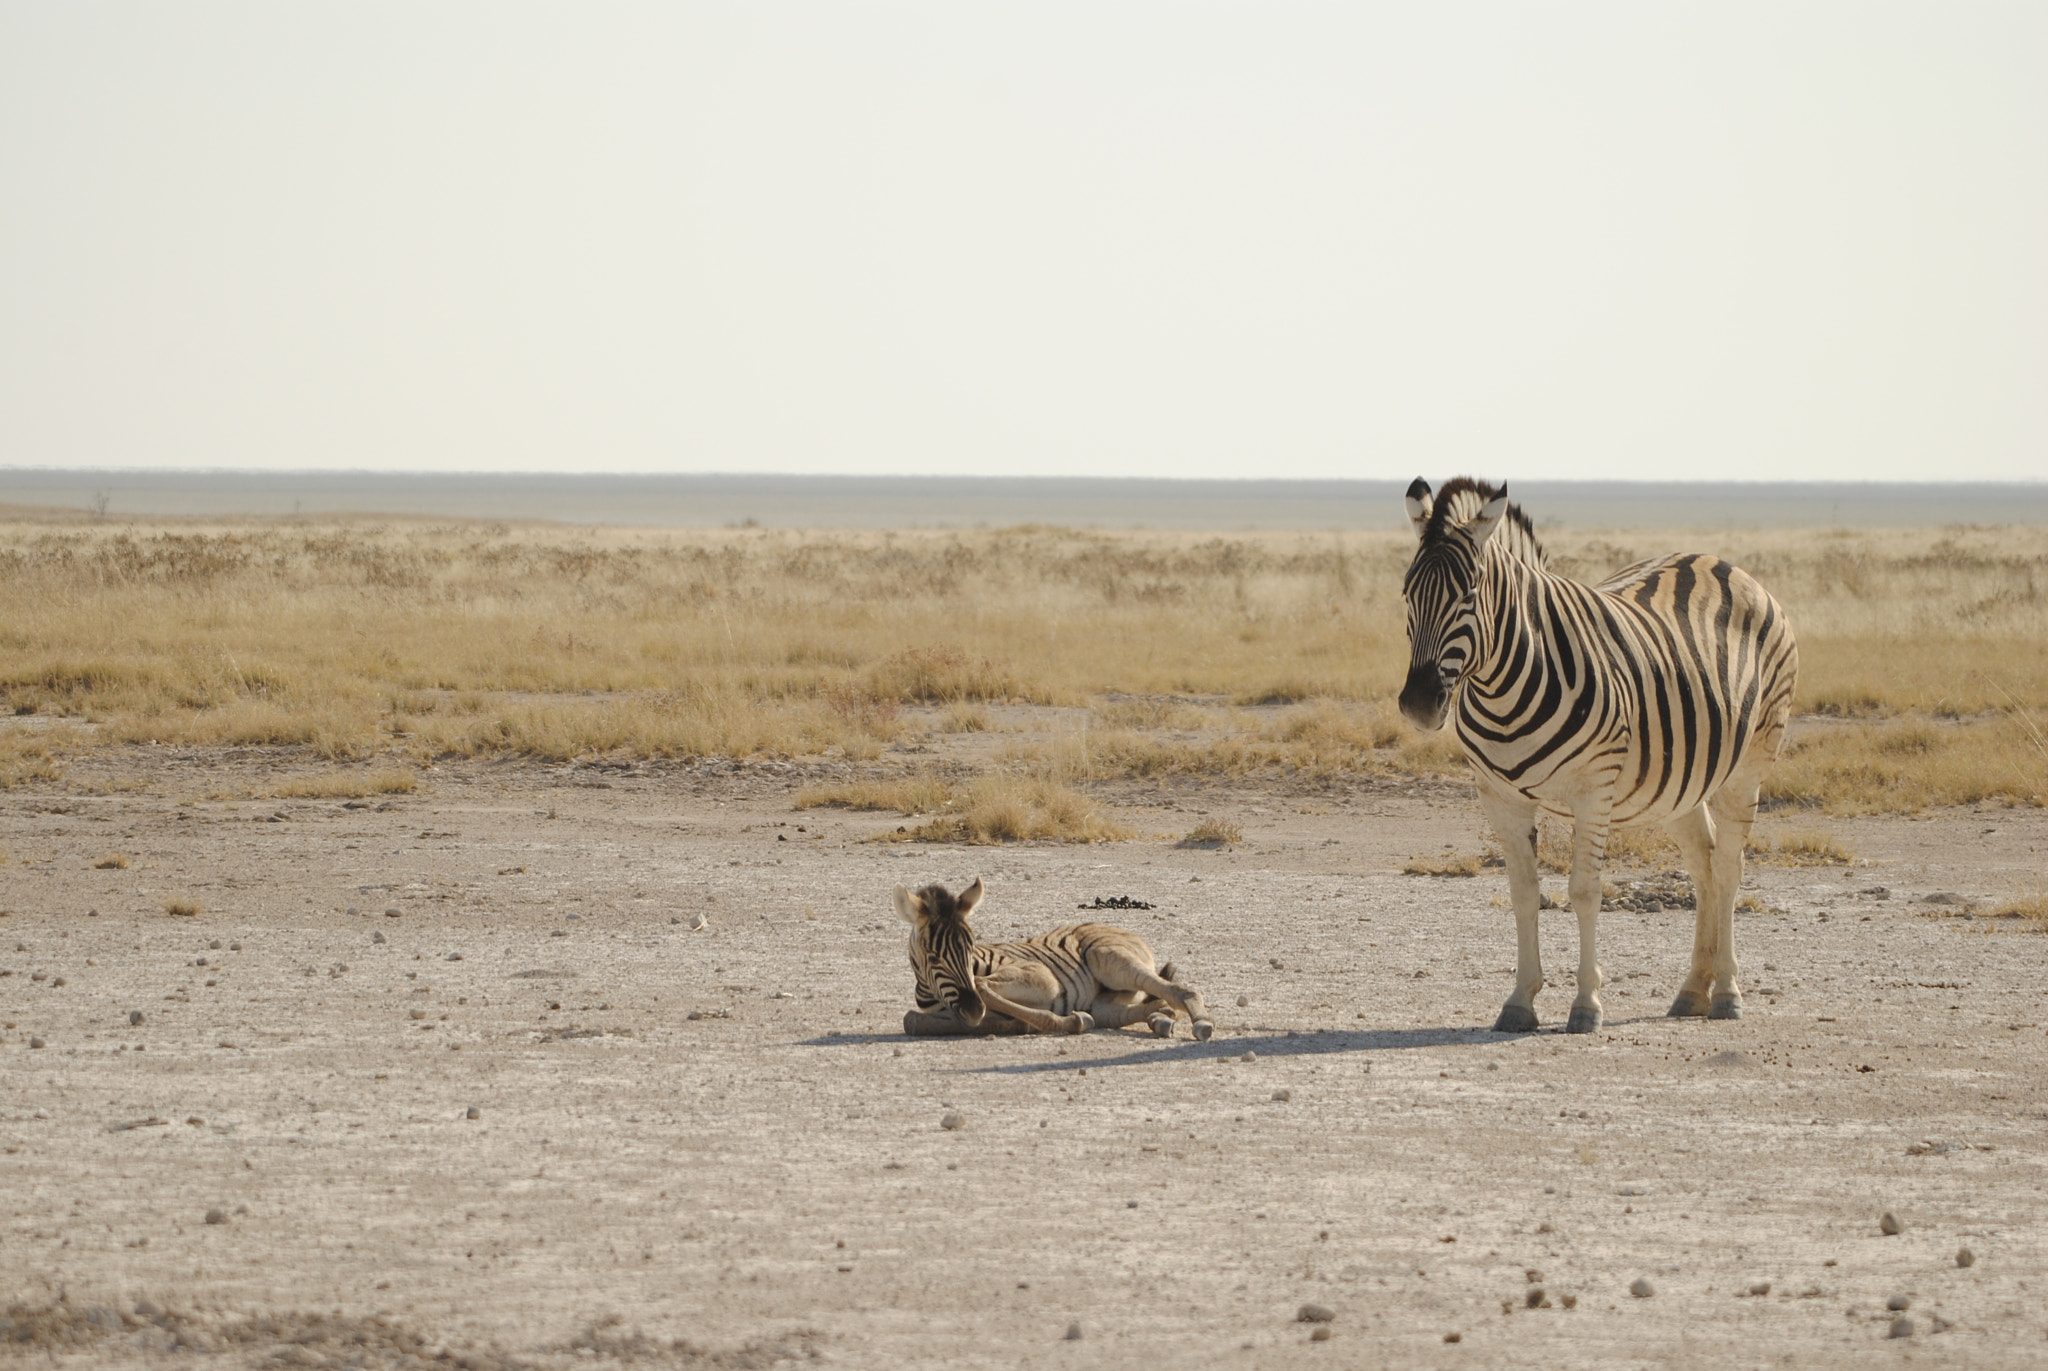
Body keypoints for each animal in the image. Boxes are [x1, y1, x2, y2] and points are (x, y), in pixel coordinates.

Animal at [901, 877, 1212, 1036]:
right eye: (933, 957)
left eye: (970, 947)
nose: (974, 1010)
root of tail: (1113, 927)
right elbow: (911, 1021)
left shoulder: (1042, 977)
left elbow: (982, 984)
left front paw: (1062, 1022)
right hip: (1104, 1002)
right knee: (1147, 1005)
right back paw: (1161, 1019)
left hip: (1109, 959)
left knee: (1181, 991)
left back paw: (1200, 1022)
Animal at [1400, 479, 1802, 1024]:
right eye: (1406, 593)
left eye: (1469, 594)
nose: (1419, 703)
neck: (1506, 684)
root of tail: (1720, 563)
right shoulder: (1499, 796)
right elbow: (1524, 894)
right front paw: (1520, 1000)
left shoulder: (1594, 790)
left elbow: (1585, 892)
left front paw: (1587, 1003)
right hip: (1679, 781)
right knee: (1704, 864)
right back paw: (1693, 990)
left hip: (1748, 764)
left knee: (1728, 868)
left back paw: (1726, 993)